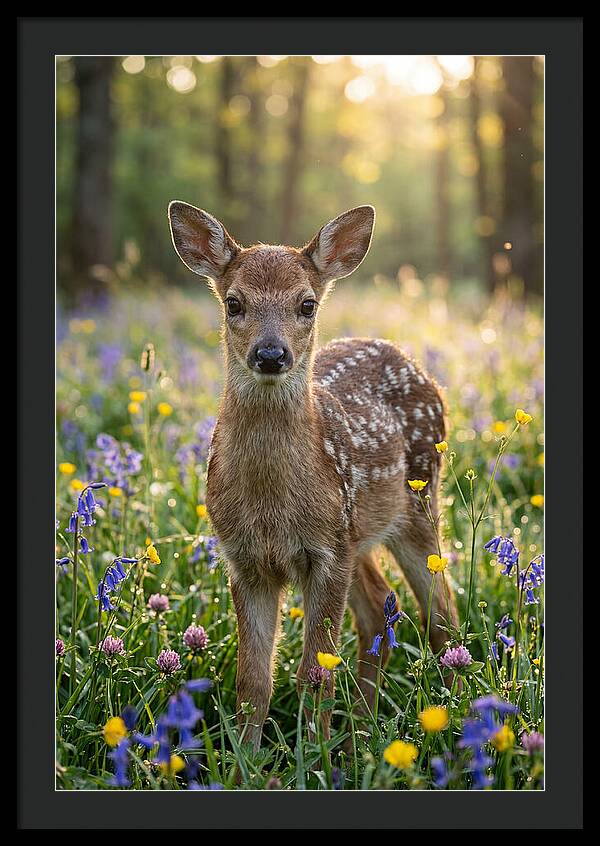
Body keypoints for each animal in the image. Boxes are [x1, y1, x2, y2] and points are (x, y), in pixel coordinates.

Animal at [168, 201, 458, 751]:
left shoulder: (325, 552)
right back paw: (361, 732)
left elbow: (314, 672)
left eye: (306, 304)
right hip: (358, 533)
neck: (271, 506)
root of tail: (414, 363)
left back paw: (451, 723)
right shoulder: (245, 559)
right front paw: (246, 759)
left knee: (442, 616)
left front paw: (313, 756)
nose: (271, 354)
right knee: (379, 608)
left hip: (416, 504)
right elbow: (253, 680)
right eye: (233, 303)